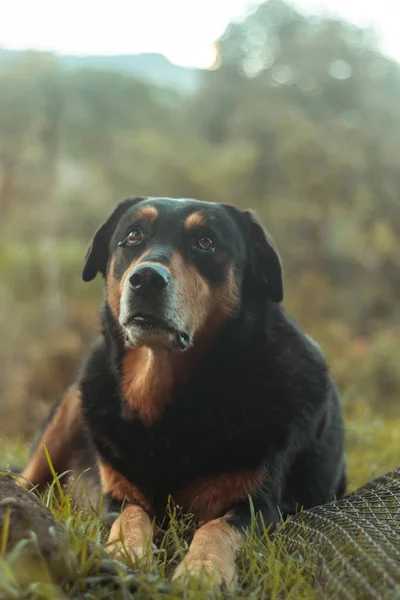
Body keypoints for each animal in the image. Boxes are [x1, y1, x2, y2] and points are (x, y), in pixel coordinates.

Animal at [18, 198, 346, 592]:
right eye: (133, 236)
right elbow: (130, 516)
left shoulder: (260, 506)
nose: (145, 278)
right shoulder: (115, 495)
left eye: (206, 242)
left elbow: (217, 527)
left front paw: (203, 569)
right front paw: (124, 553)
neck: (168, 403)